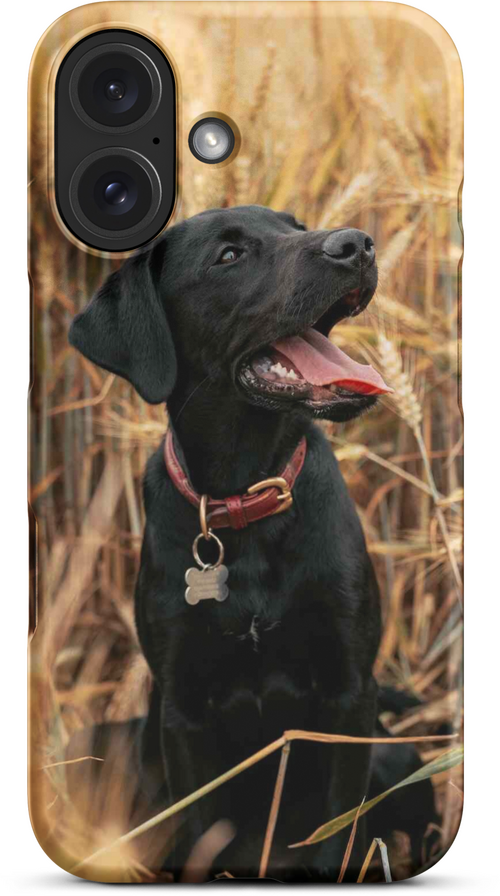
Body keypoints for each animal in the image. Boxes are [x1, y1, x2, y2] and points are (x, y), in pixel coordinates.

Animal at [67, 205, 410, 880]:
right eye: (229, 256)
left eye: (295, 227)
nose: (357, 245)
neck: (246, 499)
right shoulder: (182, 712)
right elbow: (202, 829)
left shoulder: (350, 693)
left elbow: (337, 830)